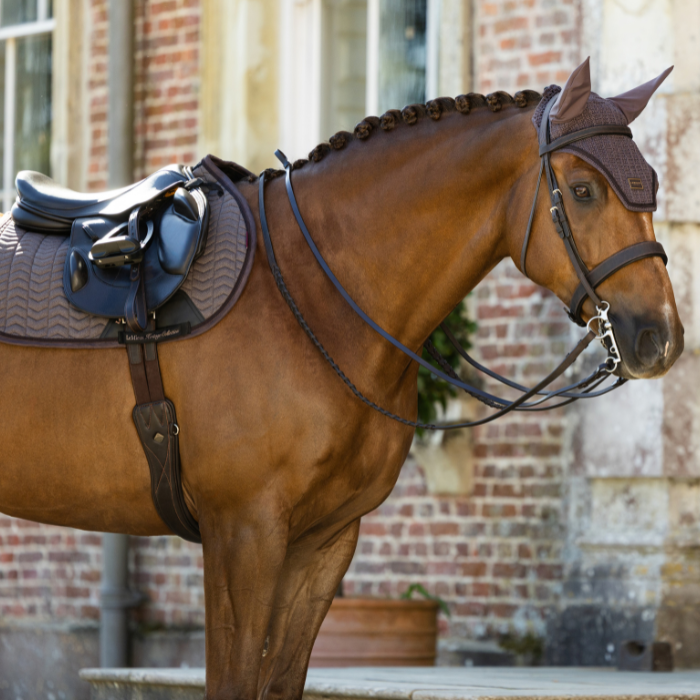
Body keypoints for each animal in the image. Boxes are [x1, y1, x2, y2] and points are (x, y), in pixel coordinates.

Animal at [0, 62, 683, 698]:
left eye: (650, 185)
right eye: (583, 189)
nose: (661, 337)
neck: (310, 293)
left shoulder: (324, 542)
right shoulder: (242, 532)